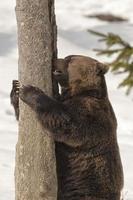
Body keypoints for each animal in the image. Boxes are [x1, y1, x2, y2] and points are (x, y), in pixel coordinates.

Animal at [10, 55, 123, 200]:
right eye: (67, 57)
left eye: (70, 59)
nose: (54, 60)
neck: (81, 91)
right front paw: (16, 87)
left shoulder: (91, 113)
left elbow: (66, 123)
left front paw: (29, 90)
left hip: (86, 188)